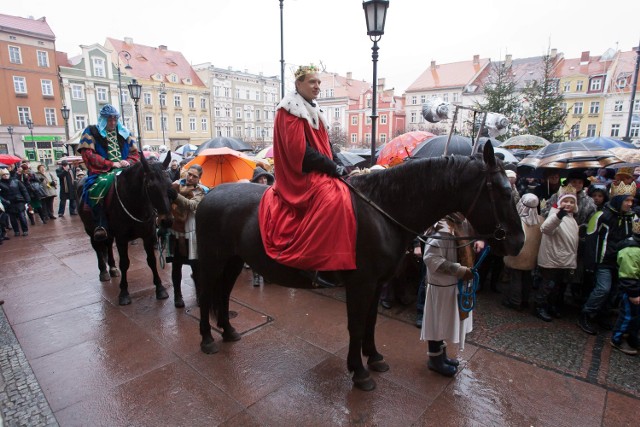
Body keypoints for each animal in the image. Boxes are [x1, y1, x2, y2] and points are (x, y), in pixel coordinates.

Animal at [78, 152, 174, 306]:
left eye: (170, 183)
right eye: (150, 185)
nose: (167, 220)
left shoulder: (148, 235)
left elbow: (151, 260)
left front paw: (160, 288)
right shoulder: (122, 238)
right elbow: (124, 263)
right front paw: (123, 293)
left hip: (110, 234)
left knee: (108, 246)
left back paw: (112, 268)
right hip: (90, 230)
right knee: (98, 247)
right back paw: (103, 271)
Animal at [196, 143, 524, 392]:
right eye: (504, 192)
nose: (518, 242)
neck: (382, 210)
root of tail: (210, 194)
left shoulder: (378, 283)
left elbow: (370, 322)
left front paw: (374, 357)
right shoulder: (361, 283)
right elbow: (355, 325)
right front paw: (358, 370)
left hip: (233, 260)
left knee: (223, 295)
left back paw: (228, 331)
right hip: (212, 261)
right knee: (205, 296)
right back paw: (208, 339)